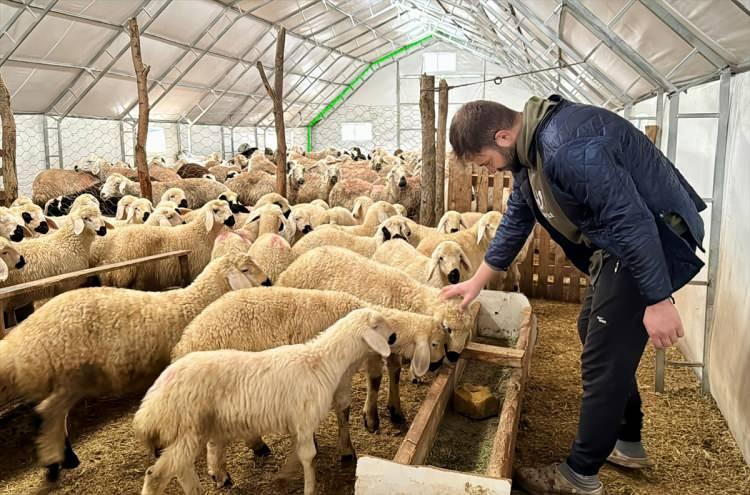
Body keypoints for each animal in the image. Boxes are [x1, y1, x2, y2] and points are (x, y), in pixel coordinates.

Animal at [0, 252, 270, 488]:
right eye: (245, 270)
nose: (267, 282)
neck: (193, 303)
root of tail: (24, 338)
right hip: (72, 374)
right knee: (48, 413)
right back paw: (54, 464)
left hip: (67, 378)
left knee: (53, 414)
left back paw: (65, 458)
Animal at [137, 308, 394, 494]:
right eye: (378, 325)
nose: (394, 336)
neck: (322, 361)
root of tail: (152, 400)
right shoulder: (304, 420)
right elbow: (309, 457)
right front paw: (309, 488)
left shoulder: (298, 425)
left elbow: (299, 456)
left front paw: (285, 476)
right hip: (188, 428)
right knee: (158, 474)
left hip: (194, 429)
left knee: (182, 468)